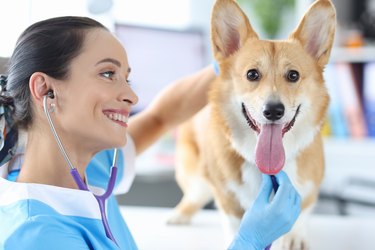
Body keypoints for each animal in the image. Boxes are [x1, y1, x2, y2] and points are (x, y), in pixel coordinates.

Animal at [169, 0, 336, 248]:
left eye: (293, 75)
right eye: (252, 74)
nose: (273, 110)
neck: (269, 168)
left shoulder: (310, 187)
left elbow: (303, 211)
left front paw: (294, 237)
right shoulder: (226, 194)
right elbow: (234, 220)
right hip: (194, 172)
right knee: (194, 194)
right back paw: (180, 214)